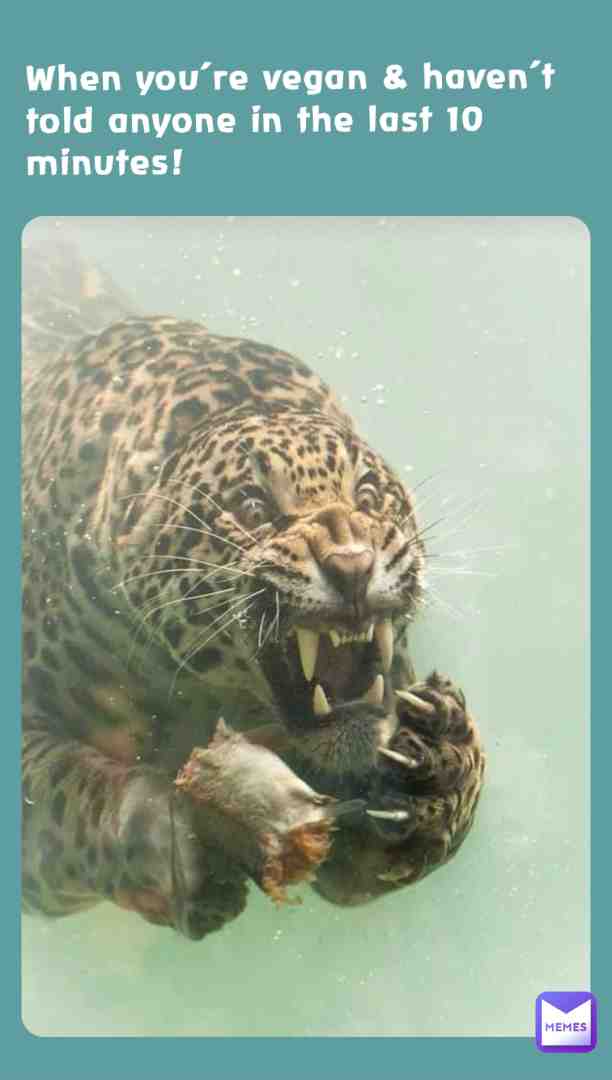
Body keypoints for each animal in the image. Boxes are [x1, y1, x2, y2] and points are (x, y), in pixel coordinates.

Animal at [21, 232, 485, 940]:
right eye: (253, 507)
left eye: (368, 495)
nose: (353, 565)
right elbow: (68, 796)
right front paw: (169, 838)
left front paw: (439, 763)